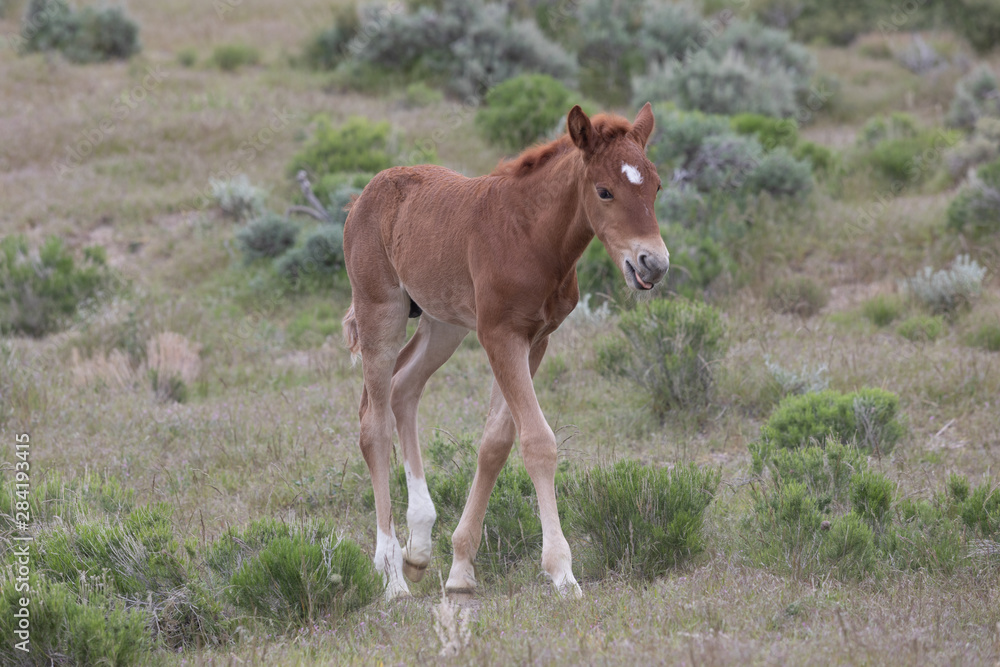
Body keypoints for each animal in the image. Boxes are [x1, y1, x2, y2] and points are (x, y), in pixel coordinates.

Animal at [342, 103, 669, 600]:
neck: (532, 235)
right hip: (382, 312)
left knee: (404, 389)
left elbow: (496, 443)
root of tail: (362, 197)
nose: (653, 264)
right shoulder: (500, 334)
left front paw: (460, 568)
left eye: (655, 186)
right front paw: (562, 572)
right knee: (373, 424)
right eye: (605, 191)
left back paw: (418, 546)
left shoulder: (536, 338)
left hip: (443, 324)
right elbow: (537, 442)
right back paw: (392, 576)